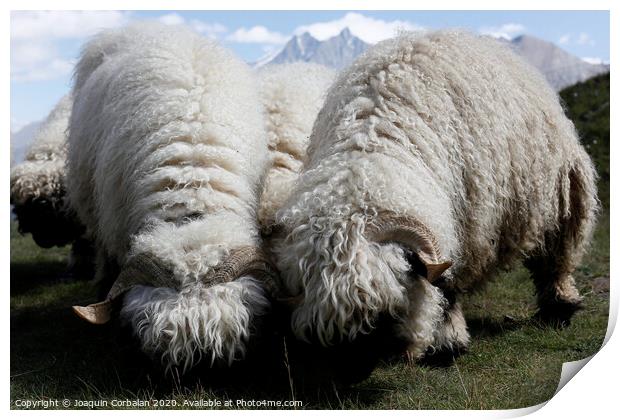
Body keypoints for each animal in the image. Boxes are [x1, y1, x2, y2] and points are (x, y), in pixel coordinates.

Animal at [272, 29, 600, 374]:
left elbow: (447, 288)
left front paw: (448, 344)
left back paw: (559, 308)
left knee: (556, 257)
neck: (368, 156)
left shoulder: (466, 233)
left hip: (560, 195)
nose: (363, 364)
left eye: (385, 313)